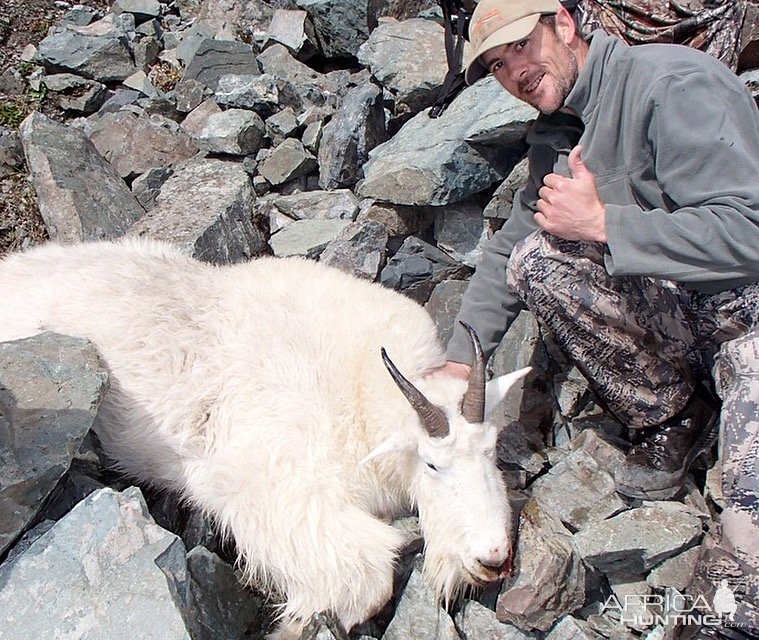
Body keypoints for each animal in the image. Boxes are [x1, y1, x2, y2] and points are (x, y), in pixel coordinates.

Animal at [0, 238, 532, 636]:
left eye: (491, 451)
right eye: (432, 463)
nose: (493, 559)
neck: (359, 393)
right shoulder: (274, 487)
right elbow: (366, 578)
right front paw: (293, 624)